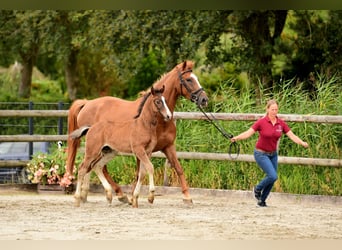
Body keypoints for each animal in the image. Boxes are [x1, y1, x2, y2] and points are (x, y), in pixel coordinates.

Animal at [63, 60, 208, 203]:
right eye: (189, 79)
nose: (204, 99)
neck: (158, 121)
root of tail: (86, 104)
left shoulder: (168, 146)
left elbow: (178, 168)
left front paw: (187, 196)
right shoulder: (141, 150)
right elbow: (141, 172)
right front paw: (135, 196)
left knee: (93, 166)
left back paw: (86, 195)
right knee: (96, 167)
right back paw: (117, 194)